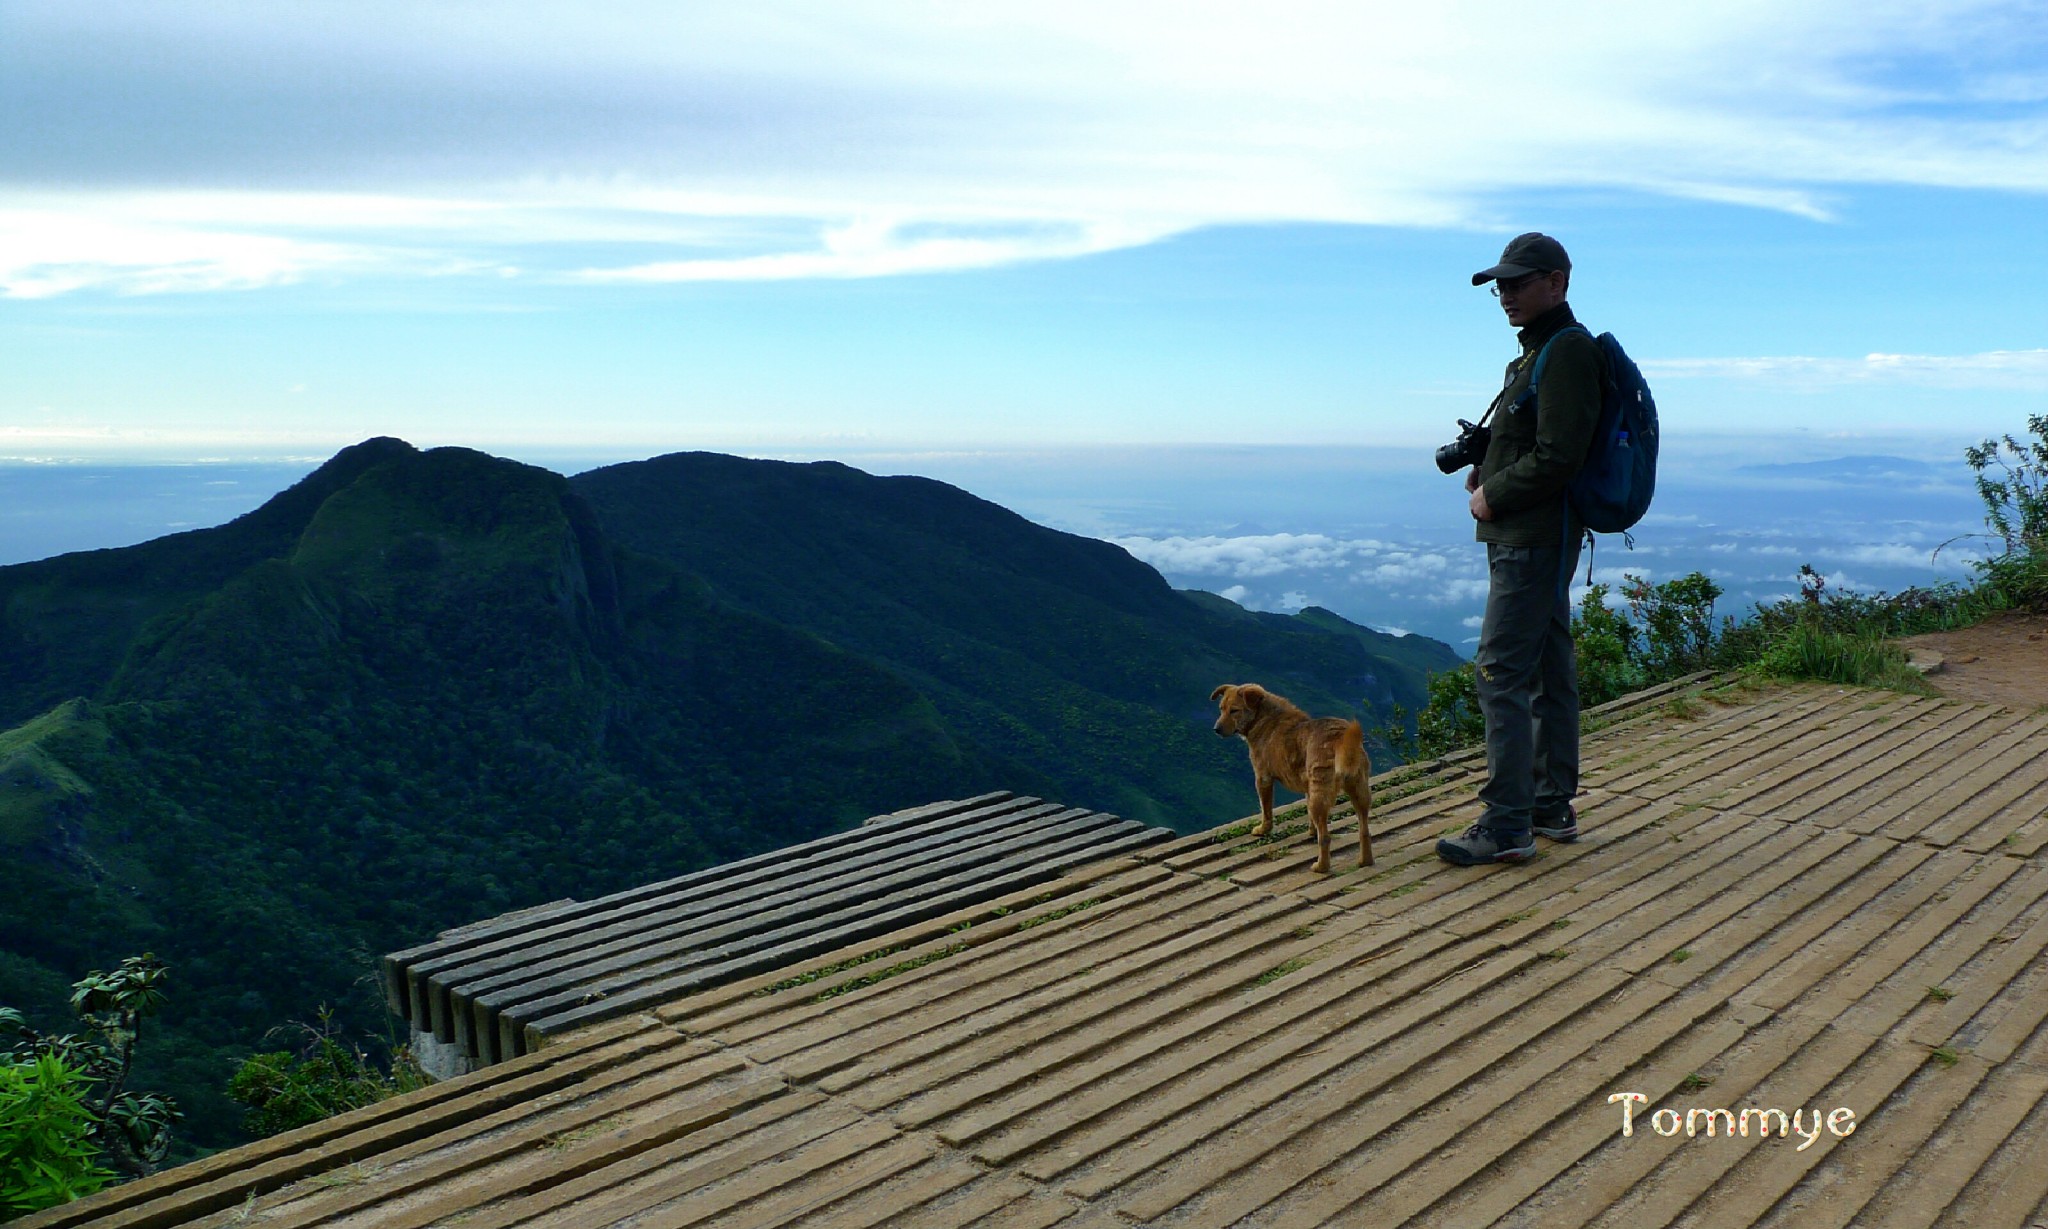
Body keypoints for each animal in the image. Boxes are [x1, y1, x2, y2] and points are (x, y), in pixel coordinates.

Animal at [1204, 680, 1368, 872]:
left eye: (1234, 710)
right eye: (1221, 708)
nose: (1216, 729)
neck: (1263, 718)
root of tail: (1341, 737)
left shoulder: (1263, 778)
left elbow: (1266, 809)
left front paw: (1263, 829)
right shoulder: (1308, 787)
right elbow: (1309, 814)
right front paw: (1311, 831)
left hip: (1321, 794)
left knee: (1326, 837)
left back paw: (1321, 867)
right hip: (1360, 792)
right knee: (1364, 830)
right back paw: (1365, 861)